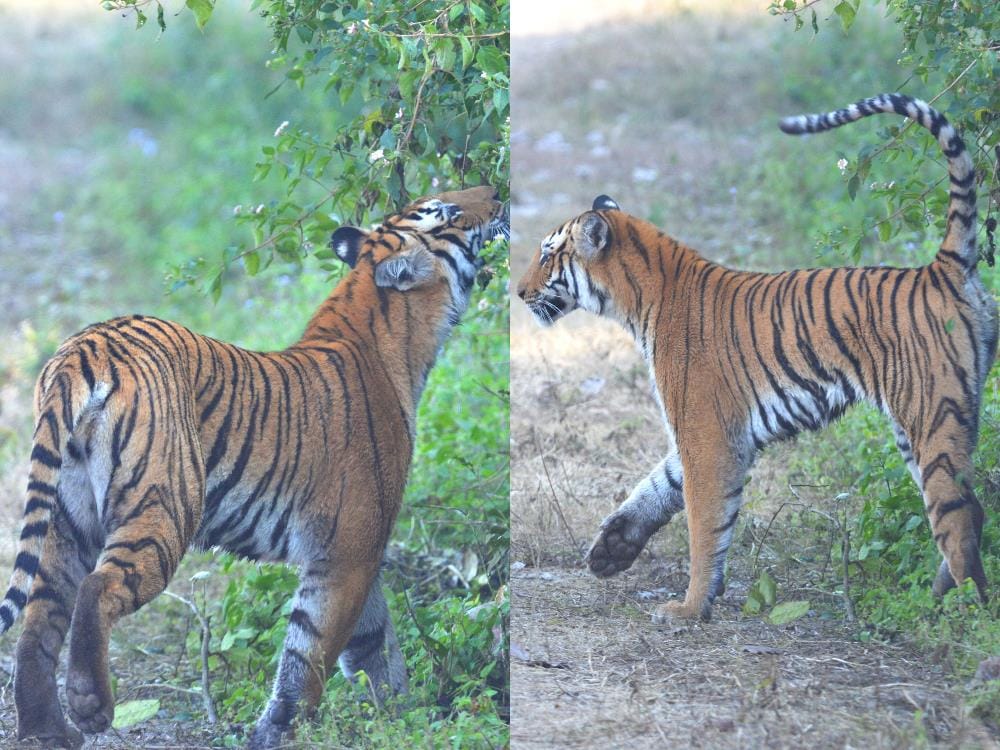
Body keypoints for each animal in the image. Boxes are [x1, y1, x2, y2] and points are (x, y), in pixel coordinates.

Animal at [1, 185, 507, 749]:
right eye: (448, 212)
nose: (495, 193)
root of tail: (83, 348)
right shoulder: (348, 551)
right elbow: (310, 652)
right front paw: (280, 730)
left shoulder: (358, 551)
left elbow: (374, 643)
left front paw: (400, 715)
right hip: (165, 506)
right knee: (96, 588)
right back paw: (91, 707)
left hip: (68, 518)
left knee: (41, 615)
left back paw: (46, 731)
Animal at [516, 93, 997, 623]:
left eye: (547, 255)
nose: (518, 292)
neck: (639, 299)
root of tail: (942, 266)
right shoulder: (717, 431)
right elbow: (660, 484)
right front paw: (613, 547)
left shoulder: (705, 431)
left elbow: (703, 522)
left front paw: (689, 607)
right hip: (918, 428)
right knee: (968, 509)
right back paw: (941, 597)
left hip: (933, 416)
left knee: (961, 516)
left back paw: (961, 611)